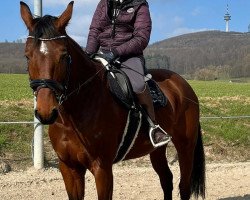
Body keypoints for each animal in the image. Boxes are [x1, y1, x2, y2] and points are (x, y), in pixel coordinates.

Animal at [20, 1, 205, 200]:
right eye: (27, 55)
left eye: (63, 55)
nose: (45, 112)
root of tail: (183, 85)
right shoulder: (69, 168)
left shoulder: (102, 168)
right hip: (156, 149)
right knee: (166, 179)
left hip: (186, 146)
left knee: (183, 186)